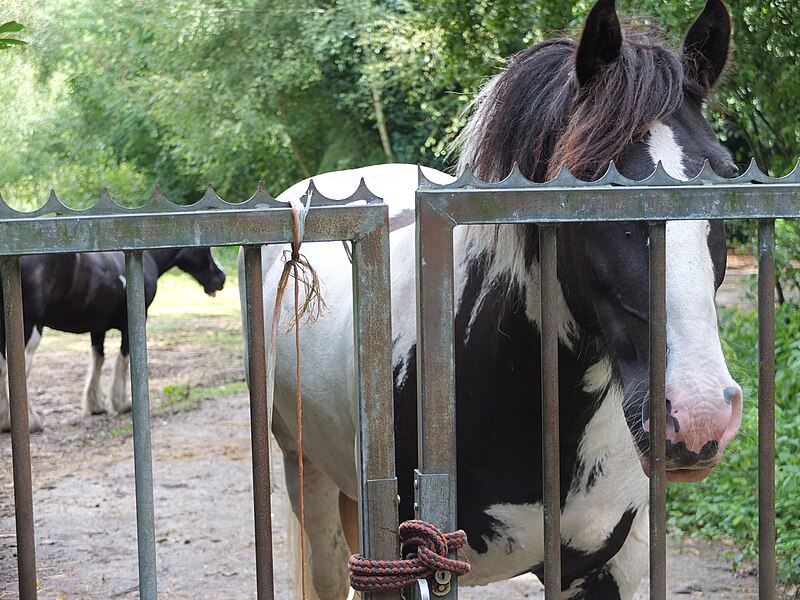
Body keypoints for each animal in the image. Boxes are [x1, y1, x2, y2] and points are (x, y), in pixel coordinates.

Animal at [0, 246, 225, 434]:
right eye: (206, 248)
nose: (221, 278)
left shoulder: (97, 328)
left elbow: (98, 360)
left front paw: (96, 405)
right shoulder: (130, 323)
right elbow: (123, 360)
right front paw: (122, 403)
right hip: (30, 328)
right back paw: (31, 422)